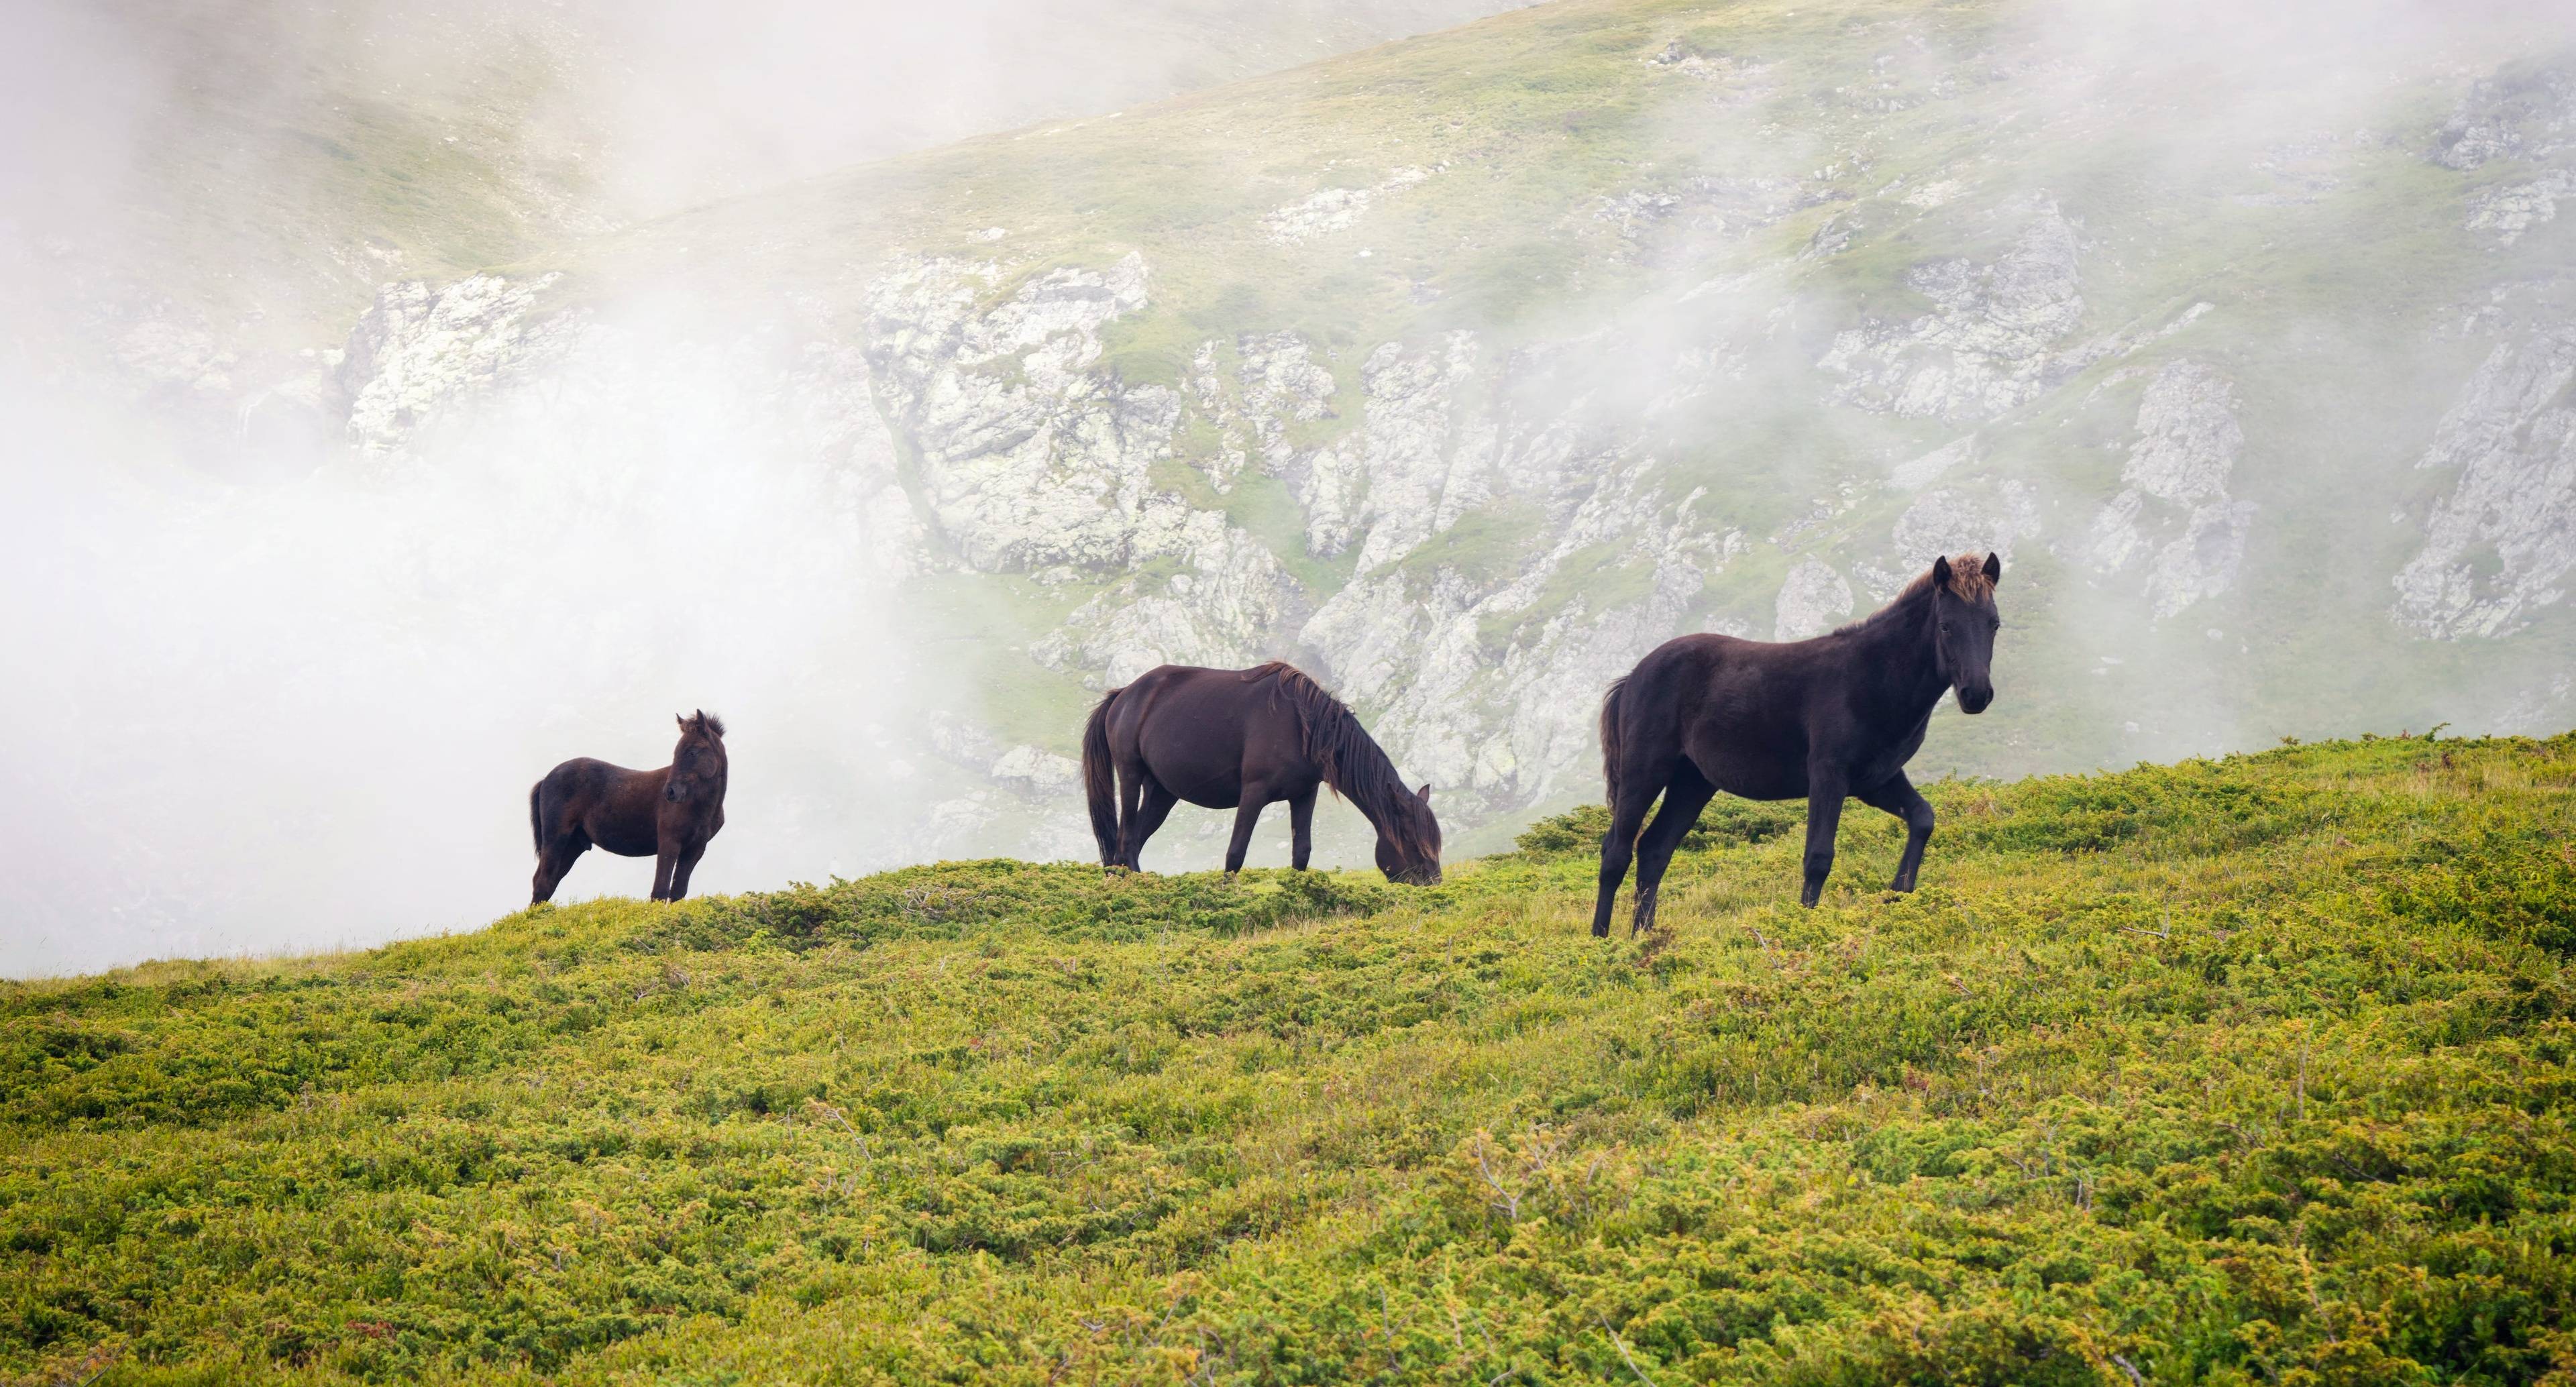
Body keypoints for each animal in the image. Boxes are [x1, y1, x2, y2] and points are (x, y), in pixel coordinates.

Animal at [523, 710, 726, 905]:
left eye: (693, 752)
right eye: (676, 753)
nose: (670, 792)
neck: (701, 807)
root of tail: (545, 779)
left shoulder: (695, 849)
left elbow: (678, 892)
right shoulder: (669, 842)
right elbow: (660, 891)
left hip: (573, 844)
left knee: (549, 882)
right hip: (556, 838)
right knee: (543, 882)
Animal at [1081, 663, 1452, 885]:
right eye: (1412, 839)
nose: (1433, 882)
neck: (1303, 726)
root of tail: (1124, 695)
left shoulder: (1304, 795)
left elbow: (1302, 852)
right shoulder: (1254, 793)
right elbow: (1235, 853)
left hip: (1162, 792)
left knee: (1133, 842)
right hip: (1131, 776)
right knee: (1126, 839)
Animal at [1587, 551, 2009, 931]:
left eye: (1994, 624)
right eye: (1946, 626)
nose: (1976, 695)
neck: (1873, 677)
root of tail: (1633, 676)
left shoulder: (1877, 779)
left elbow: (1923, 818)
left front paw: (1898, 894)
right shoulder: (1829, 775)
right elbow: (1818, 856)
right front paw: (1803, 926)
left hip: (1692, 782)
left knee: (1654, 850)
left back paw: (1642, 939)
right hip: (1646, 772)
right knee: (1616, 852)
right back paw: (1601, 941)